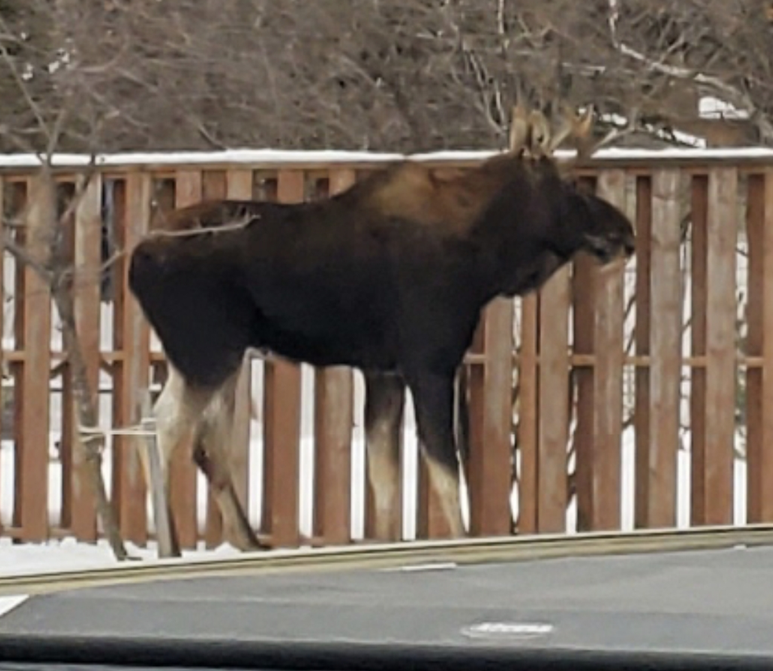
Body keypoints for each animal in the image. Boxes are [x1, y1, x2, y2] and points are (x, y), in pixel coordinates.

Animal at [128, 103, 632, 556]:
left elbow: (384, 479)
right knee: (161, 429)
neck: (486, 259)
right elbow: (445, 471)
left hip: (225, 357)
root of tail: (134, 264)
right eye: (569, 185)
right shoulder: (430, 363)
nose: (624, 231)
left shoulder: (382, 371)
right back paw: (171, 547)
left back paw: (247, 543)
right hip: (205, 352)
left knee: (205, 442)